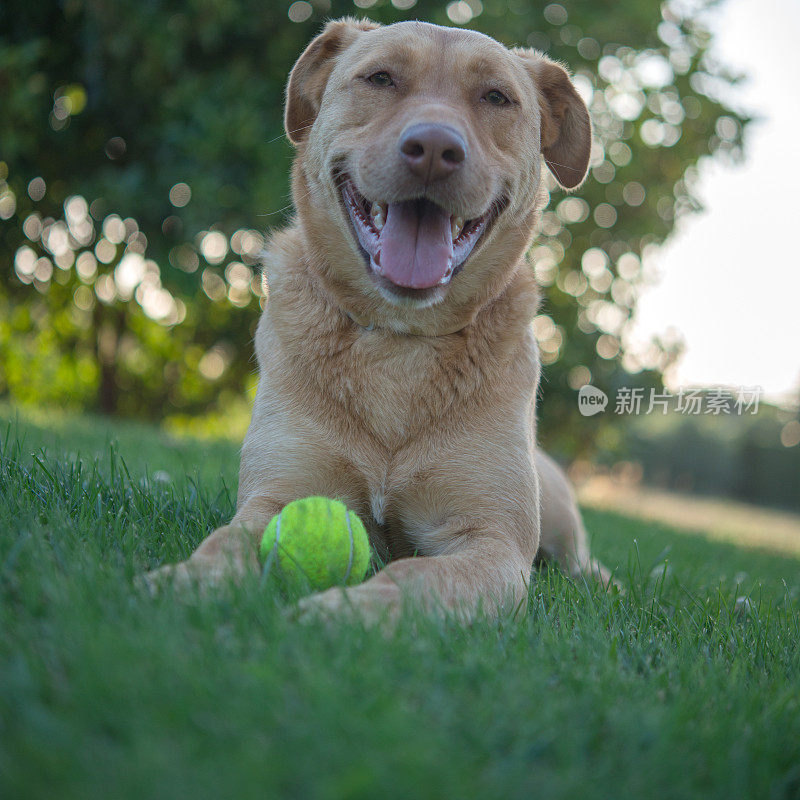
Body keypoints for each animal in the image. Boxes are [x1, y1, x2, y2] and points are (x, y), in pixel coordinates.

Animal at [144, 17, 616, 620]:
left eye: (496, 97)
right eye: (381, 78)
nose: (435, 148)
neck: (400, 338)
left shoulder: (493, 542)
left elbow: (417, 578)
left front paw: (338, 612)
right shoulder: (274, 497)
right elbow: (226, 542)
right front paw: (184, 583)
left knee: (585, 563)